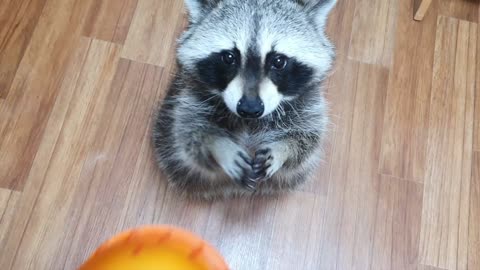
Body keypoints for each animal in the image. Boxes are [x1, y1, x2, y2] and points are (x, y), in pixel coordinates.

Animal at [154, 0, 338, 198]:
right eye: (229, 57)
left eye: (278, 61)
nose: (250, 108)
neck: (249, 122)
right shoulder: (188, 97)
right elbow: (189, 134)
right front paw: (219, 146)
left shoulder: (310, 104)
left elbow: (307, 140)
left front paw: (282, 150)